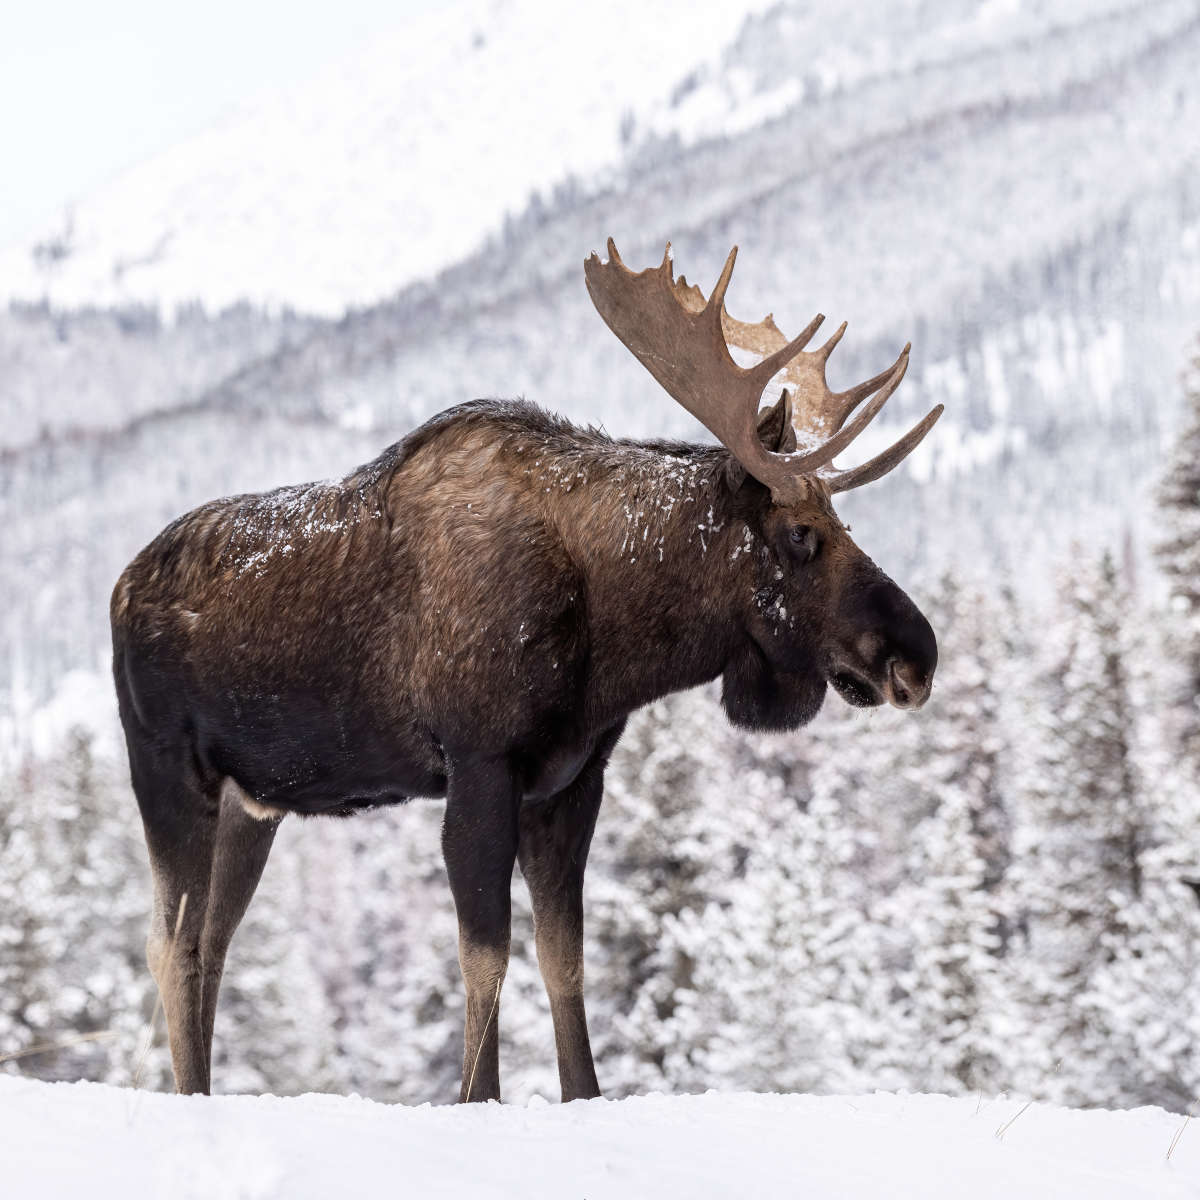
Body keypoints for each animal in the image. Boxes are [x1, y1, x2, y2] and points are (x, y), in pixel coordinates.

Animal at [110, 241, 936, 1104]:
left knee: (213, 942)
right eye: (801, 534)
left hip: (254, 803)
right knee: (170, 945)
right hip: (168, 773)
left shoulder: (571, 780)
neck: (613, 631)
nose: (916, 655)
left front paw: (581, 1093)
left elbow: (562, 957)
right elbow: (486, 958)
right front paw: (479, 1097)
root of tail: (119, 588)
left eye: (842, 521)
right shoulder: (481, 762)